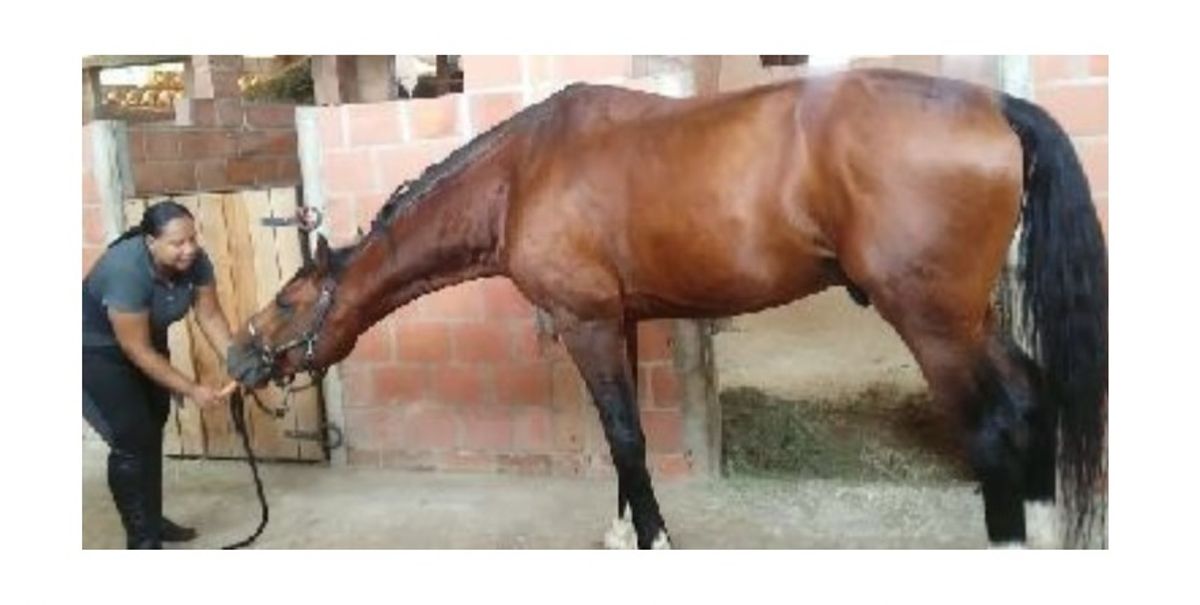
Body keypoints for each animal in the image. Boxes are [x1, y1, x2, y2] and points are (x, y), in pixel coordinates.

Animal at [227, 67, 1108, 549]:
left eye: (290, 297)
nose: (239, 356)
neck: (521, 175)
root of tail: (995, 107)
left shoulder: (583, 322)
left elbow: (621, 433)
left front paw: (651, 537)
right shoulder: (615, 319)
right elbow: (629, 439)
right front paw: (625, 528)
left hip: (932, 323)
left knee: (992, 426)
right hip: (970, 317)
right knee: (1033, 396)